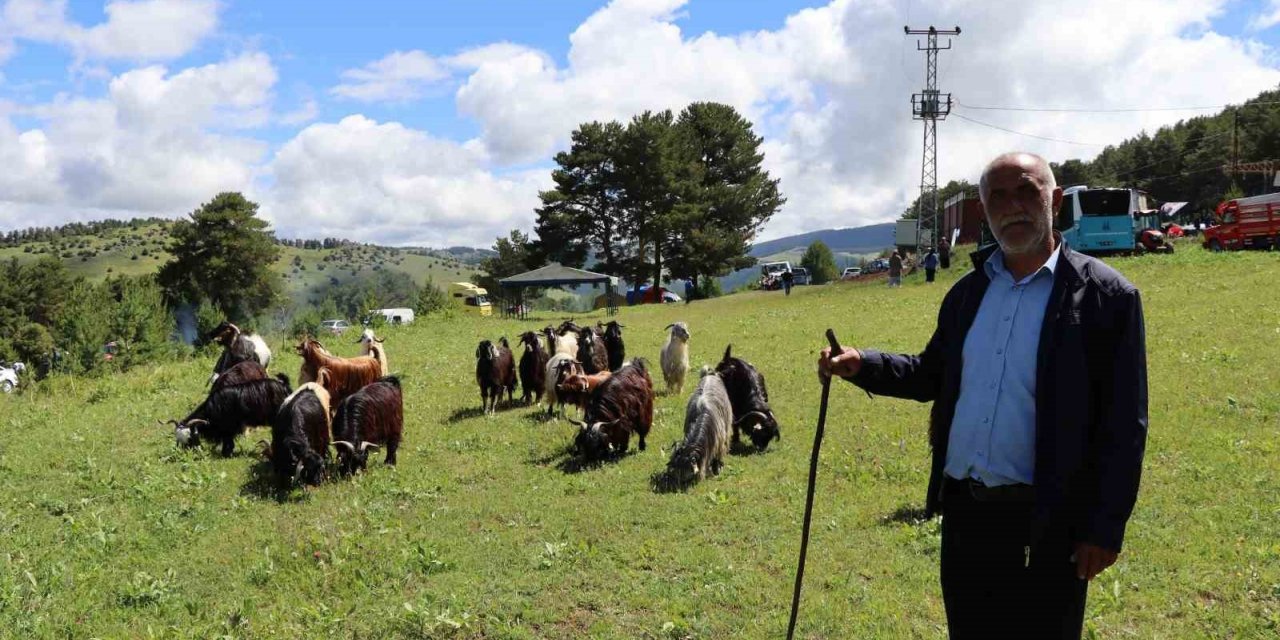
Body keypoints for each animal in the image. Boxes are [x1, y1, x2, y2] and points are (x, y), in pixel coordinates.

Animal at [162, 373, 293, 458]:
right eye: (178, 439)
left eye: (190, 439)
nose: (183, 454)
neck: (214, 407)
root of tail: (284, 386)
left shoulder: (229, 428)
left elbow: (228, 442)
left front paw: (226, 454)